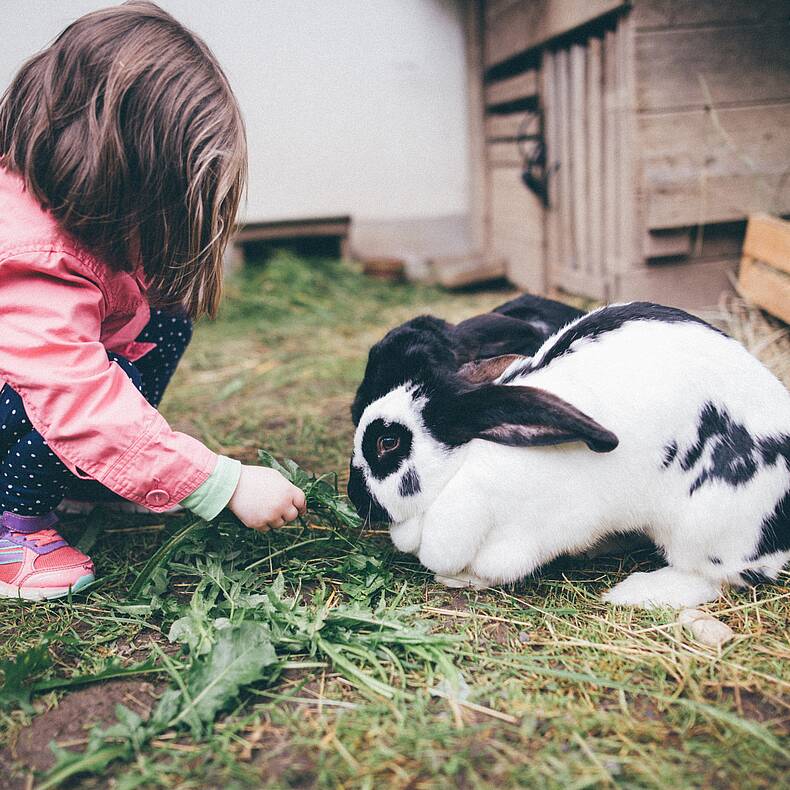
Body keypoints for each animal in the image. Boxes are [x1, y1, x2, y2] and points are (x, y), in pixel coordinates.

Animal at [352, 300, 790, 608]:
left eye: (387, 443)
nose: (357, 499)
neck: (462, 466)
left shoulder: (531, 530)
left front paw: (460, 579)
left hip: (704, 527)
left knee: (718, 577)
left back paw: (637, 592)